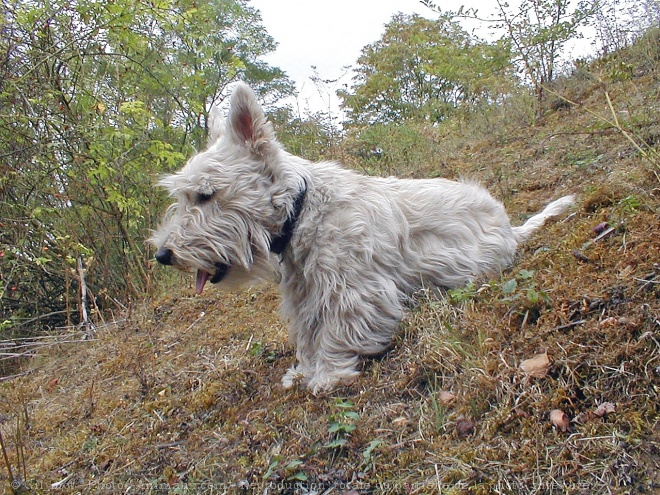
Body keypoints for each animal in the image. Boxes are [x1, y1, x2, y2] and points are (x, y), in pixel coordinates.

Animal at [150, 84, 572, 396]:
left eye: (206, 195)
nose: (163, 254)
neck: (302, 211)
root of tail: (509, 227)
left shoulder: (353, 292)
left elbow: (336, 332)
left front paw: (327, 375)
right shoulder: (305, 294)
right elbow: (308, 334)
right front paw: (303, 371)